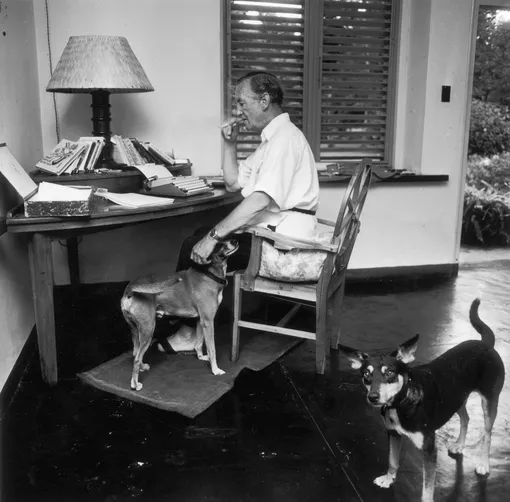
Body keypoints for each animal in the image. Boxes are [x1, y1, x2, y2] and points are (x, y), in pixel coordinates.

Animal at [121, 240, 239, 392]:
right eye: (218, 244)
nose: (235, 240)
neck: (208, 274)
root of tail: (130, 289)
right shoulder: (208, 321)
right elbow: (212, 349)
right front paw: (215, 370)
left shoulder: (200, 320)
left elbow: (199, 343)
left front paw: (201, 357)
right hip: (148, 329)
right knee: (136, 358)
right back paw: (135, 384)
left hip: (136, 330)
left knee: (136, 353)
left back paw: (142, 367)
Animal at [338, 300, 506, 500]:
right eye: (366, 375)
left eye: (390, 373)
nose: (373, 397)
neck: (402, 402)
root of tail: (486, 344)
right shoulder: (393, 434)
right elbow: (392, 460)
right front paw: (389, 479)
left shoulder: (429, 450)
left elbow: (427, 488)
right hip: (456, 398)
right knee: (466, 418)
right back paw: (459, 444)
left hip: (489, 401)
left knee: (488, 433)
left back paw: (484, 464)